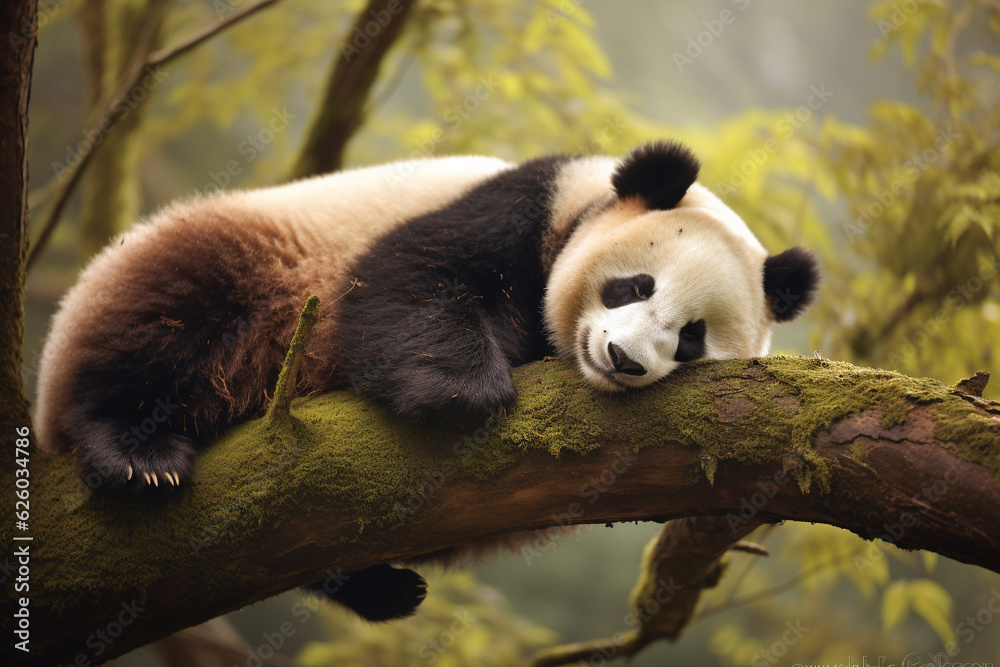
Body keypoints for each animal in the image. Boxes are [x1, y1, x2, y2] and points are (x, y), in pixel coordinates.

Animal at [35, 140, 819, 620]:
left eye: (691, 337)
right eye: (632, 286)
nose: (623, 359)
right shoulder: (516, 205)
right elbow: (413, 276)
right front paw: (463, 392)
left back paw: (379, 587)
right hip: (243, 263)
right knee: (161, 328)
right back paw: (137, 453)